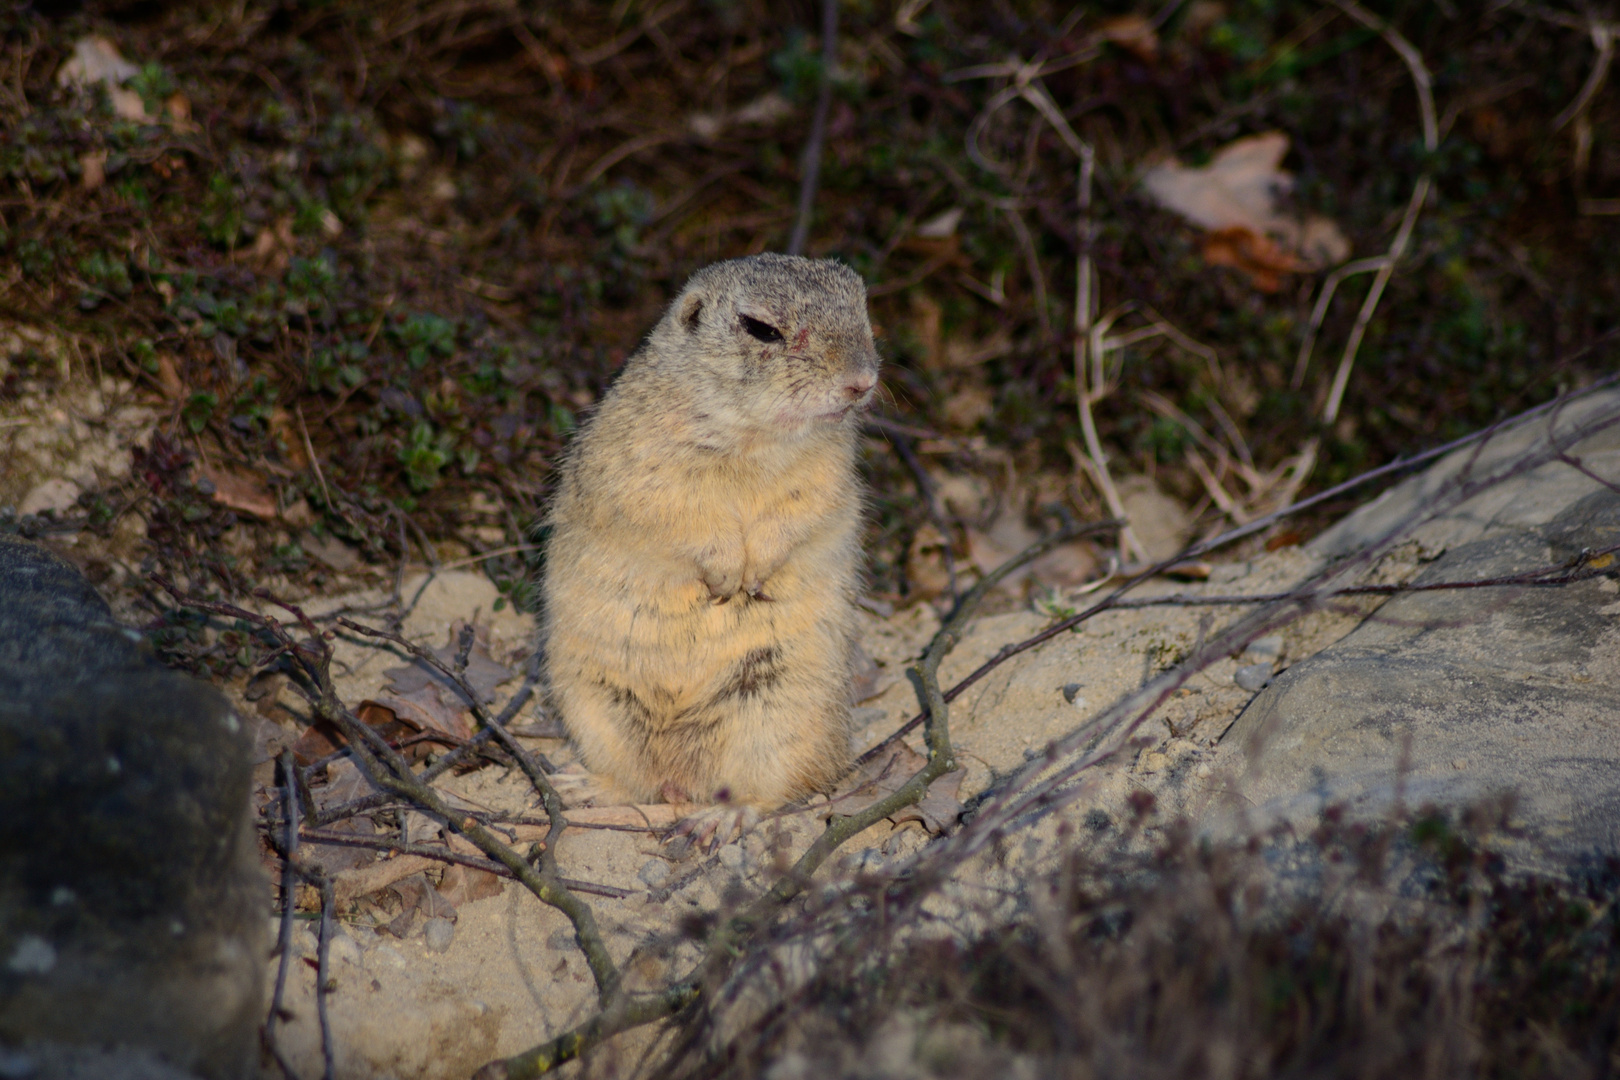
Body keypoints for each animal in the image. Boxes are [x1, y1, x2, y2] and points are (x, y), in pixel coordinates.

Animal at [537, 255, 881, 841]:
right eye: (761, 329)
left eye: (862, 308)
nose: (862, 382)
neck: (753, 439)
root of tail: (681, 779)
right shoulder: (646, 466)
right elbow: (679, 515)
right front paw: (727, 575)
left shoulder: (827, 474)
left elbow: (799, 514)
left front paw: (755, 573)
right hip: (593, 705)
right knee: (635, 781)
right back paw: (585, 786)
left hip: (775, 717)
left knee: (771, 789)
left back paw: (723, 817)